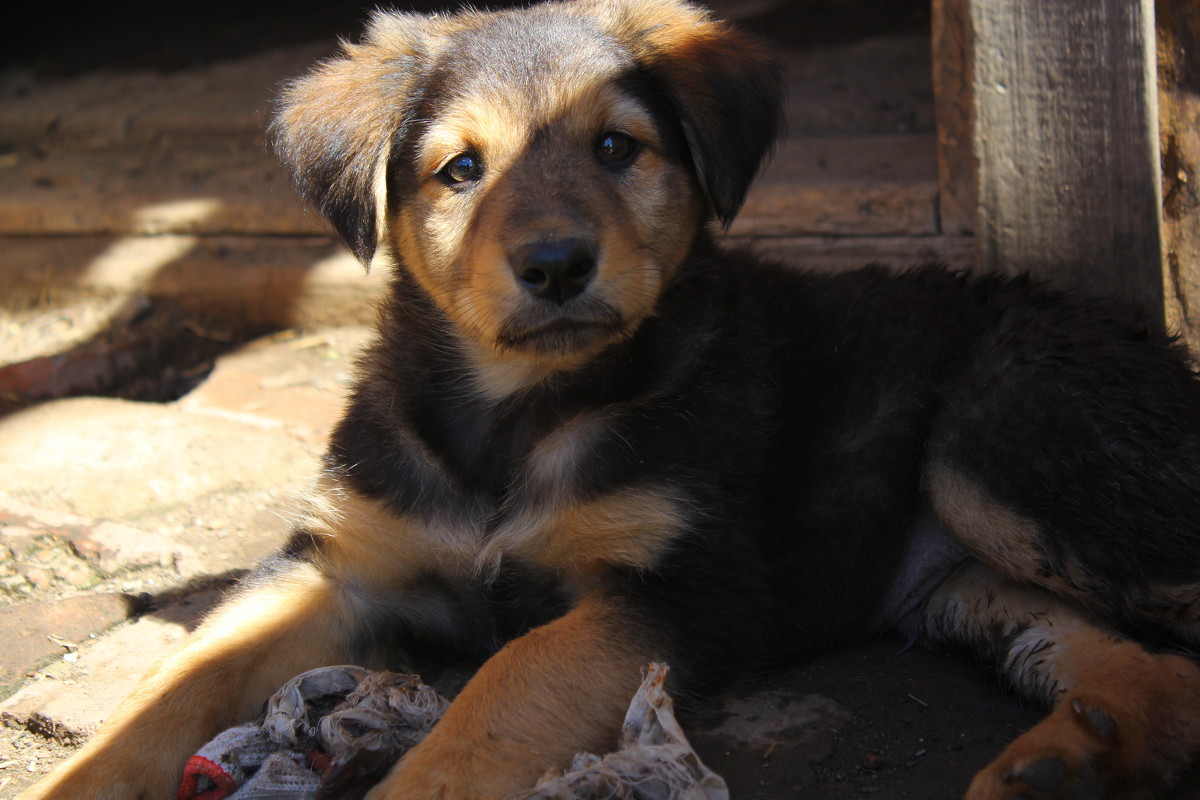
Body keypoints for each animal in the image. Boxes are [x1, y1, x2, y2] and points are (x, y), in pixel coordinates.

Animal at [21, 1, 1200, 800]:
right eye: (459, 170)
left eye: (614, 147)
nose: (554, 265)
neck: (513, 416)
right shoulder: (339, 560)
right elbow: (175, 682)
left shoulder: (678, 590)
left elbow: (507, 681)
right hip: (967, 575)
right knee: (1146, 670)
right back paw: (1066, 759)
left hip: (1001, 449)